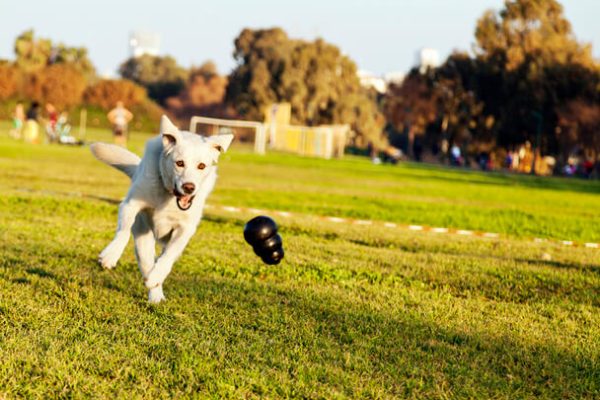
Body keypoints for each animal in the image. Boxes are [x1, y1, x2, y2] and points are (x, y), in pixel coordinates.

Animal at [90, 115, 233, 304]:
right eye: (179, 163)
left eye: (201, 166)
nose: (189, 187)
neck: (169, 196)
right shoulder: (130, 205)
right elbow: (123, 231)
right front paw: (110, 255)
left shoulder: (185, 229)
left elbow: (169, 255)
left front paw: (157, 275)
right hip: (143, 240)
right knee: (146, 262)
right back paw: (154, 293)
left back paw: (156, 288)